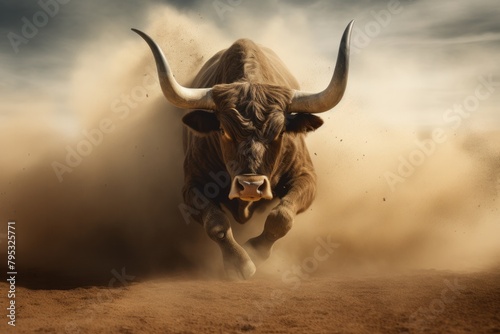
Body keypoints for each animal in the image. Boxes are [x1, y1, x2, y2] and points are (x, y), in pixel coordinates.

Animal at [131, 20, 354, 280]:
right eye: (224, 131)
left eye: (279, 132)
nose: (250, 186)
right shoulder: (192, 186)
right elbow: (216, 223)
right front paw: (239, 263)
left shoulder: (306, 176)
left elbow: (281, 217)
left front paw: (255, 250)